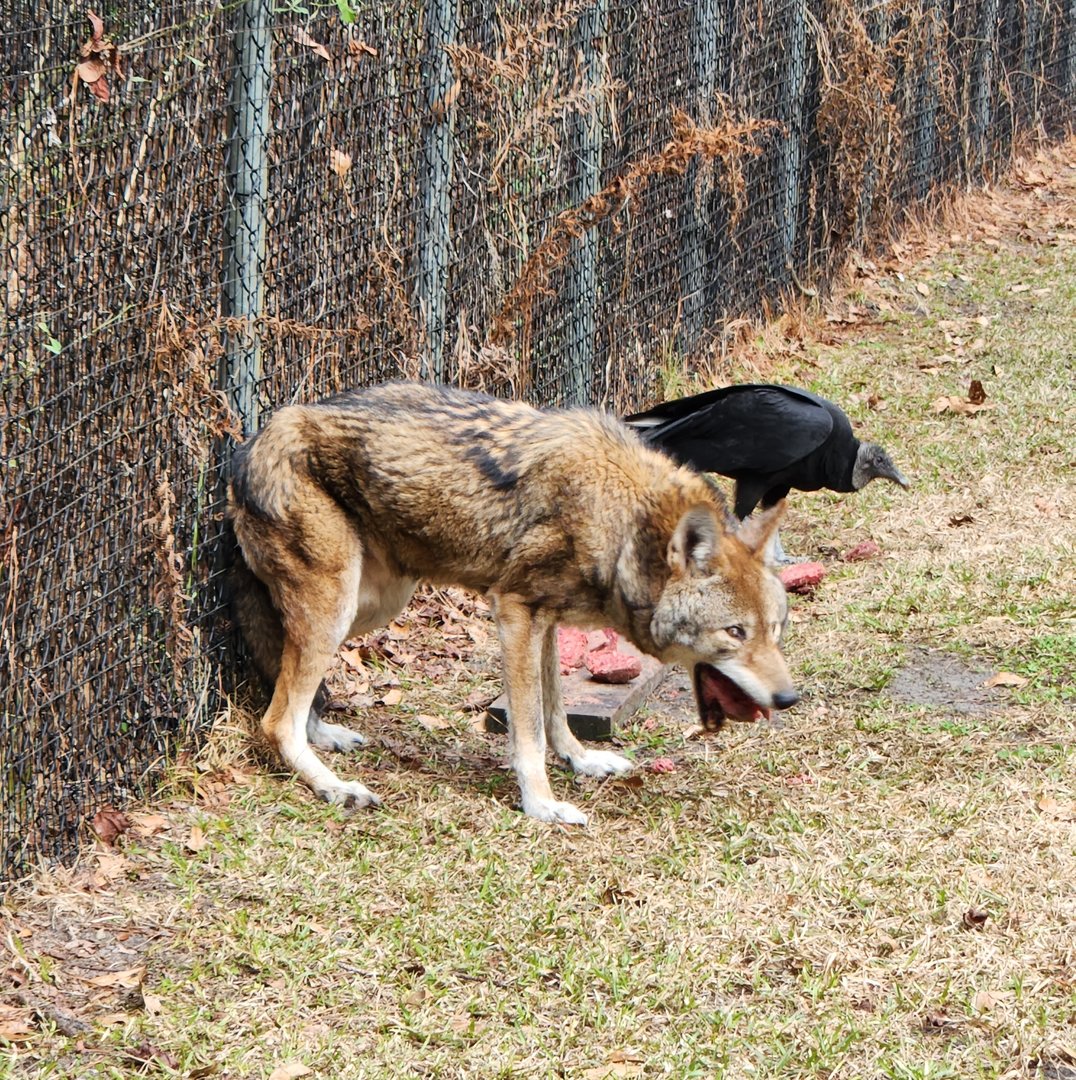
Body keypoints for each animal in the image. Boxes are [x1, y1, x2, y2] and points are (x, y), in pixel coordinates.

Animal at [227, 382, 798, 825]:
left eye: (775, 630)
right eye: (735, 632)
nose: (790, 698)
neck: (621, 521)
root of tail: (252, 442)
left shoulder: (545, 622)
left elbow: (556, 713)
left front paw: (583, 761)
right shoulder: (516, 614)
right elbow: (529, 733)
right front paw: (542, 805)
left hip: (371, 605)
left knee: (288, 687)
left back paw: (327, 737)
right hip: (340, 607)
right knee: (276, 720)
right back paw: (335, 787)